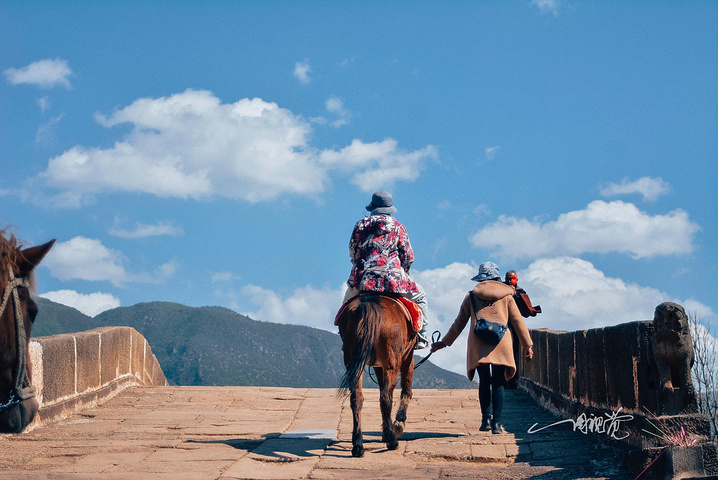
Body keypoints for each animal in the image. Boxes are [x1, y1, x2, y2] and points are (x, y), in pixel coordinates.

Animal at [338, 292, 416, 458]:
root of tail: (368, 304)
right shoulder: (407, 356)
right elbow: (406, 389)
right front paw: (399, 424)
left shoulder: (379, 366)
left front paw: (386, 431)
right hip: (393, 363)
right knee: (386, 398)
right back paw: (392, 441)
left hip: (353, 361)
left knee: (357, 399)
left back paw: (358, 445)